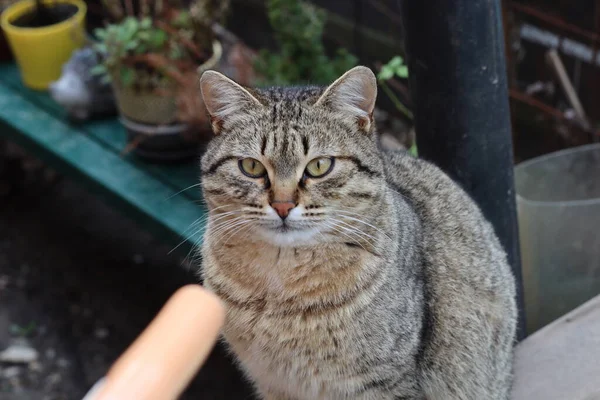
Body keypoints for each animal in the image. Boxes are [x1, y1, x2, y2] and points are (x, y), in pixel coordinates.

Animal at [197, 67, 516, 398]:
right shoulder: (273, 383)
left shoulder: (384, 381)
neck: (279, 285)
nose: (283, 205)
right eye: (251, 167)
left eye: (319, 166)